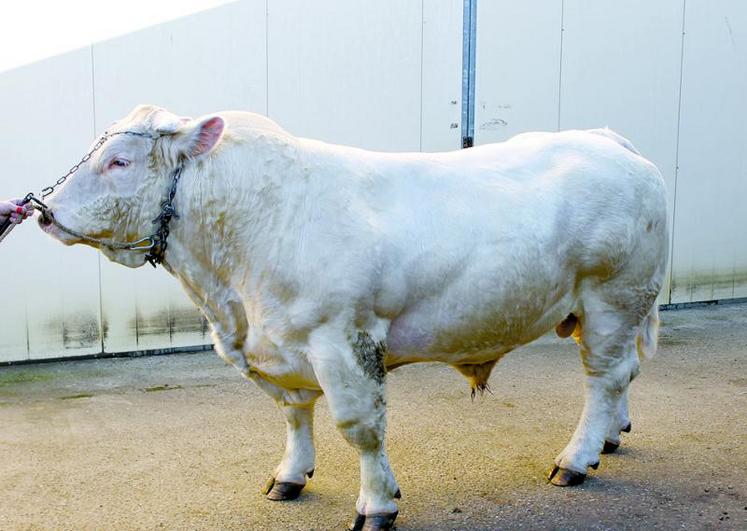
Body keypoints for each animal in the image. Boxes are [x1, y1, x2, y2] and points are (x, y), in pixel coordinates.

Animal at [41, 106, 668, 528]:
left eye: (119, 161)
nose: (43, 211)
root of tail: (607, 139)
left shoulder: (341, 339)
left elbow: (360, 428)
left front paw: (376, 504)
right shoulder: (278, 344)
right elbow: (294, 414)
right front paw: (290, 474)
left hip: (614, 297)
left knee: (603, 378)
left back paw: (577, 458)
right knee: (621, 377)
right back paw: (610, 436)